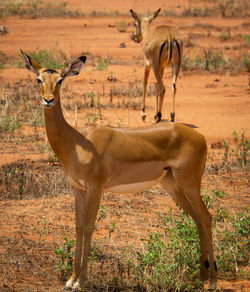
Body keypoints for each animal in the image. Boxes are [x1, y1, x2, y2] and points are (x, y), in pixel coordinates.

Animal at [21, 51, 217, 290]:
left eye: (60, 80)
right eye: (39, 79)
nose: (48, 100)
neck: (76, 141)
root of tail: (201, 137)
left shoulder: (95, 188)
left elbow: (88, 226)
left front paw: (81, 281)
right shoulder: (78, 189)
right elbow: (77, 226)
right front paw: (70, 280)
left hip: (190, 183)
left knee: (207, 217)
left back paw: (212, 282)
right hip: (173, 186)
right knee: (197, 219)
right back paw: (201, 277)